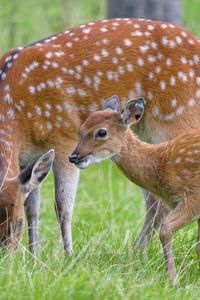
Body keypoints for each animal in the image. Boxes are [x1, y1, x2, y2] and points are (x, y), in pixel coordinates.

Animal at [0, 17, 200, 254]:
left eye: (17, 222)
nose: (6, 257)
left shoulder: (64, 137)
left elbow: (62, 207)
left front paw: (68, 257)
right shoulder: (28, 159)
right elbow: (33, 208)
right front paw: (34, 256)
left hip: (179, 118)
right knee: (153, 198)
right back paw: (136, 254)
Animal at [69, 96, 200, 282]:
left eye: (101, 132)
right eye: (81, 129)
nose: (73, 156)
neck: (162, 165)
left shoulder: (193, 196)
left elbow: (165, 229)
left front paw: (172, 279)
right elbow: (198, 246)